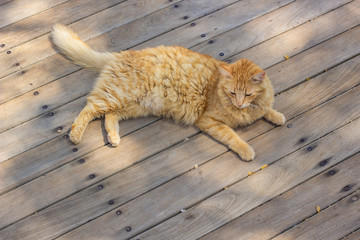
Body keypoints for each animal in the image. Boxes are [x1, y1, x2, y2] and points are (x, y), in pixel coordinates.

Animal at [52, 23, 286, 161]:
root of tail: (120, 54)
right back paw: (75, 135)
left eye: (247, 94)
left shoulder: (258, 105)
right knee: (89, 109)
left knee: (109, 116)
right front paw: (246, 150)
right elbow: (233, 137)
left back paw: (114, 138)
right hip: (119, 95)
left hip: (134, 105)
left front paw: (277, 116)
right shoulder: (209, 121)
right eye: (231, 93)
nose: (238, 103)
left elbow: (266, 109)